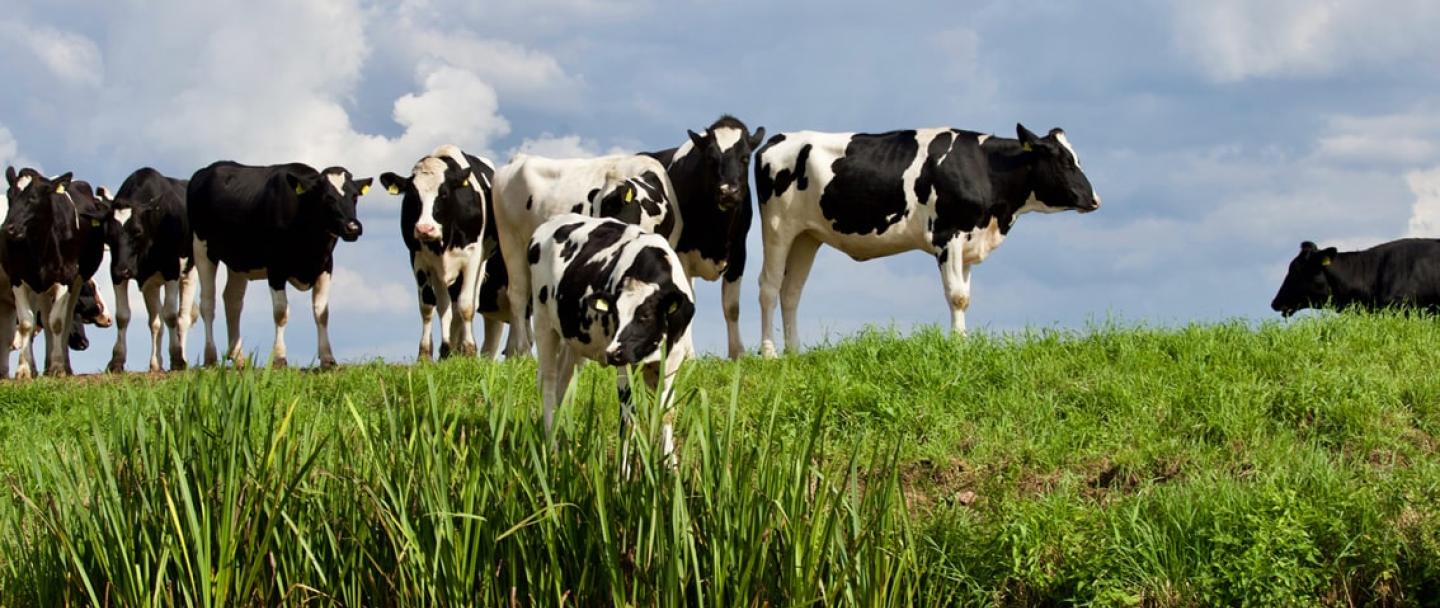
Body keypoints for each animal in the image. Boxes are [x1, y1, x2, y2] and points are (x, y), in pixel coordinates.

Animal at [101, 168, 197, 372]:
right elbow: (123, 316)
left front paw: (177, 358)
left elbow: (171, 315)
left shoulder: (172, 270)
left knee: (183, 318)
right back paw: (155, 363)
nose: (123, 270)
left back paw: (182, 356)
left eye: (137, 231)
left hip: (190, 271)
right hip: (151, 283)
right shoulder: (119, 273)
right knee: (156, 321)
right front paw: (116, 360)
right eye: (108, 234)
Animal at [188, 162, 371, 369]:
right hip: (202, 249)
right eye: (328, 197)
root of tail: (209, 169)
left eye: (355, 196)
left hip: (238, 262)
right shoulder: (276, 268)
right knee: (207, 303)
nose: (353, 227)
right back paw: (210, 357)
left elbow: (321, 312)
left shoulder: (325, 266)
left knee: (232, 301)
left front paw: (327, 358)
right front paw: (279, 357)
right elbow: (281, 312)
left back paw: (238, 356)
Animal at [379, 145, 497, 361]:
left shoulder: (472, 258)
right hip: (438, 272)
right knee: (446, 306)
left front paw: (469, 350)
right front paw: (426, 354)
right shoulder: (418, 259)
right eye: (412, 195)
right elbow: (428, 306)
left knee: (467, 303)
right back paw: (448, 350)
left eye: (444, 193)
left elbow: (466, 305)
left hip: (481, 262)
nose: (425, 229)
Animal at [529, 214, 696, 457]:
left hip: (576, 342)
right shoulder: (625, 368)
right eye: (615, 315)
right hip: (543, 323)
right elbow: (628, 420)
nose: (612, 353)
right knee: (548, 383)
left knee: (564, 385)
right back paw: (552, 447)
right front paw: (623, 467)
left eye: (645, 316)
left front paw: (669, 464)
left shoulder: (671, 364)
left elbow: (666, 414)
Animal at [753, 124, 1101, 357]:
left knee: (791, 292)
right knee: (769, 287)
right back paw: (769, 354)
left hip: (806, 236)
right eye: (1064, 161)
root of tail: (777, 139)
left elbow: (966, 295)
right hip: (778, 227)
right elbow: (957, 296)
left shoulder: (968, 242)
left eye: (1077, 158)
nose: (1095, 199)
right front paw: (959, 346)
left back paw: (794, 353)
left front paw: (964, 341)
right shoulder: (948, 235)